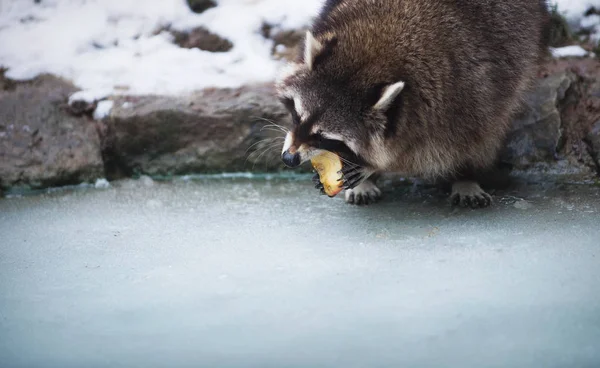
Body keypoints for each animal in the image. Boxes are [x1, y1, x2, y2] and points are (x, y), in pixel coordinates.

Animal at [276, 0, 548, 207]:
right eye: (298, 116)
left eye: (324, 137)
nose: (289, 159)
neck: (374, 55)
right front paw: (365, 171)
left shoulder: (461, 93)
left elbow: (433, 150)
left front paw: (370, 166)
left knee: (480, 136)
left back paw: (466, 176)